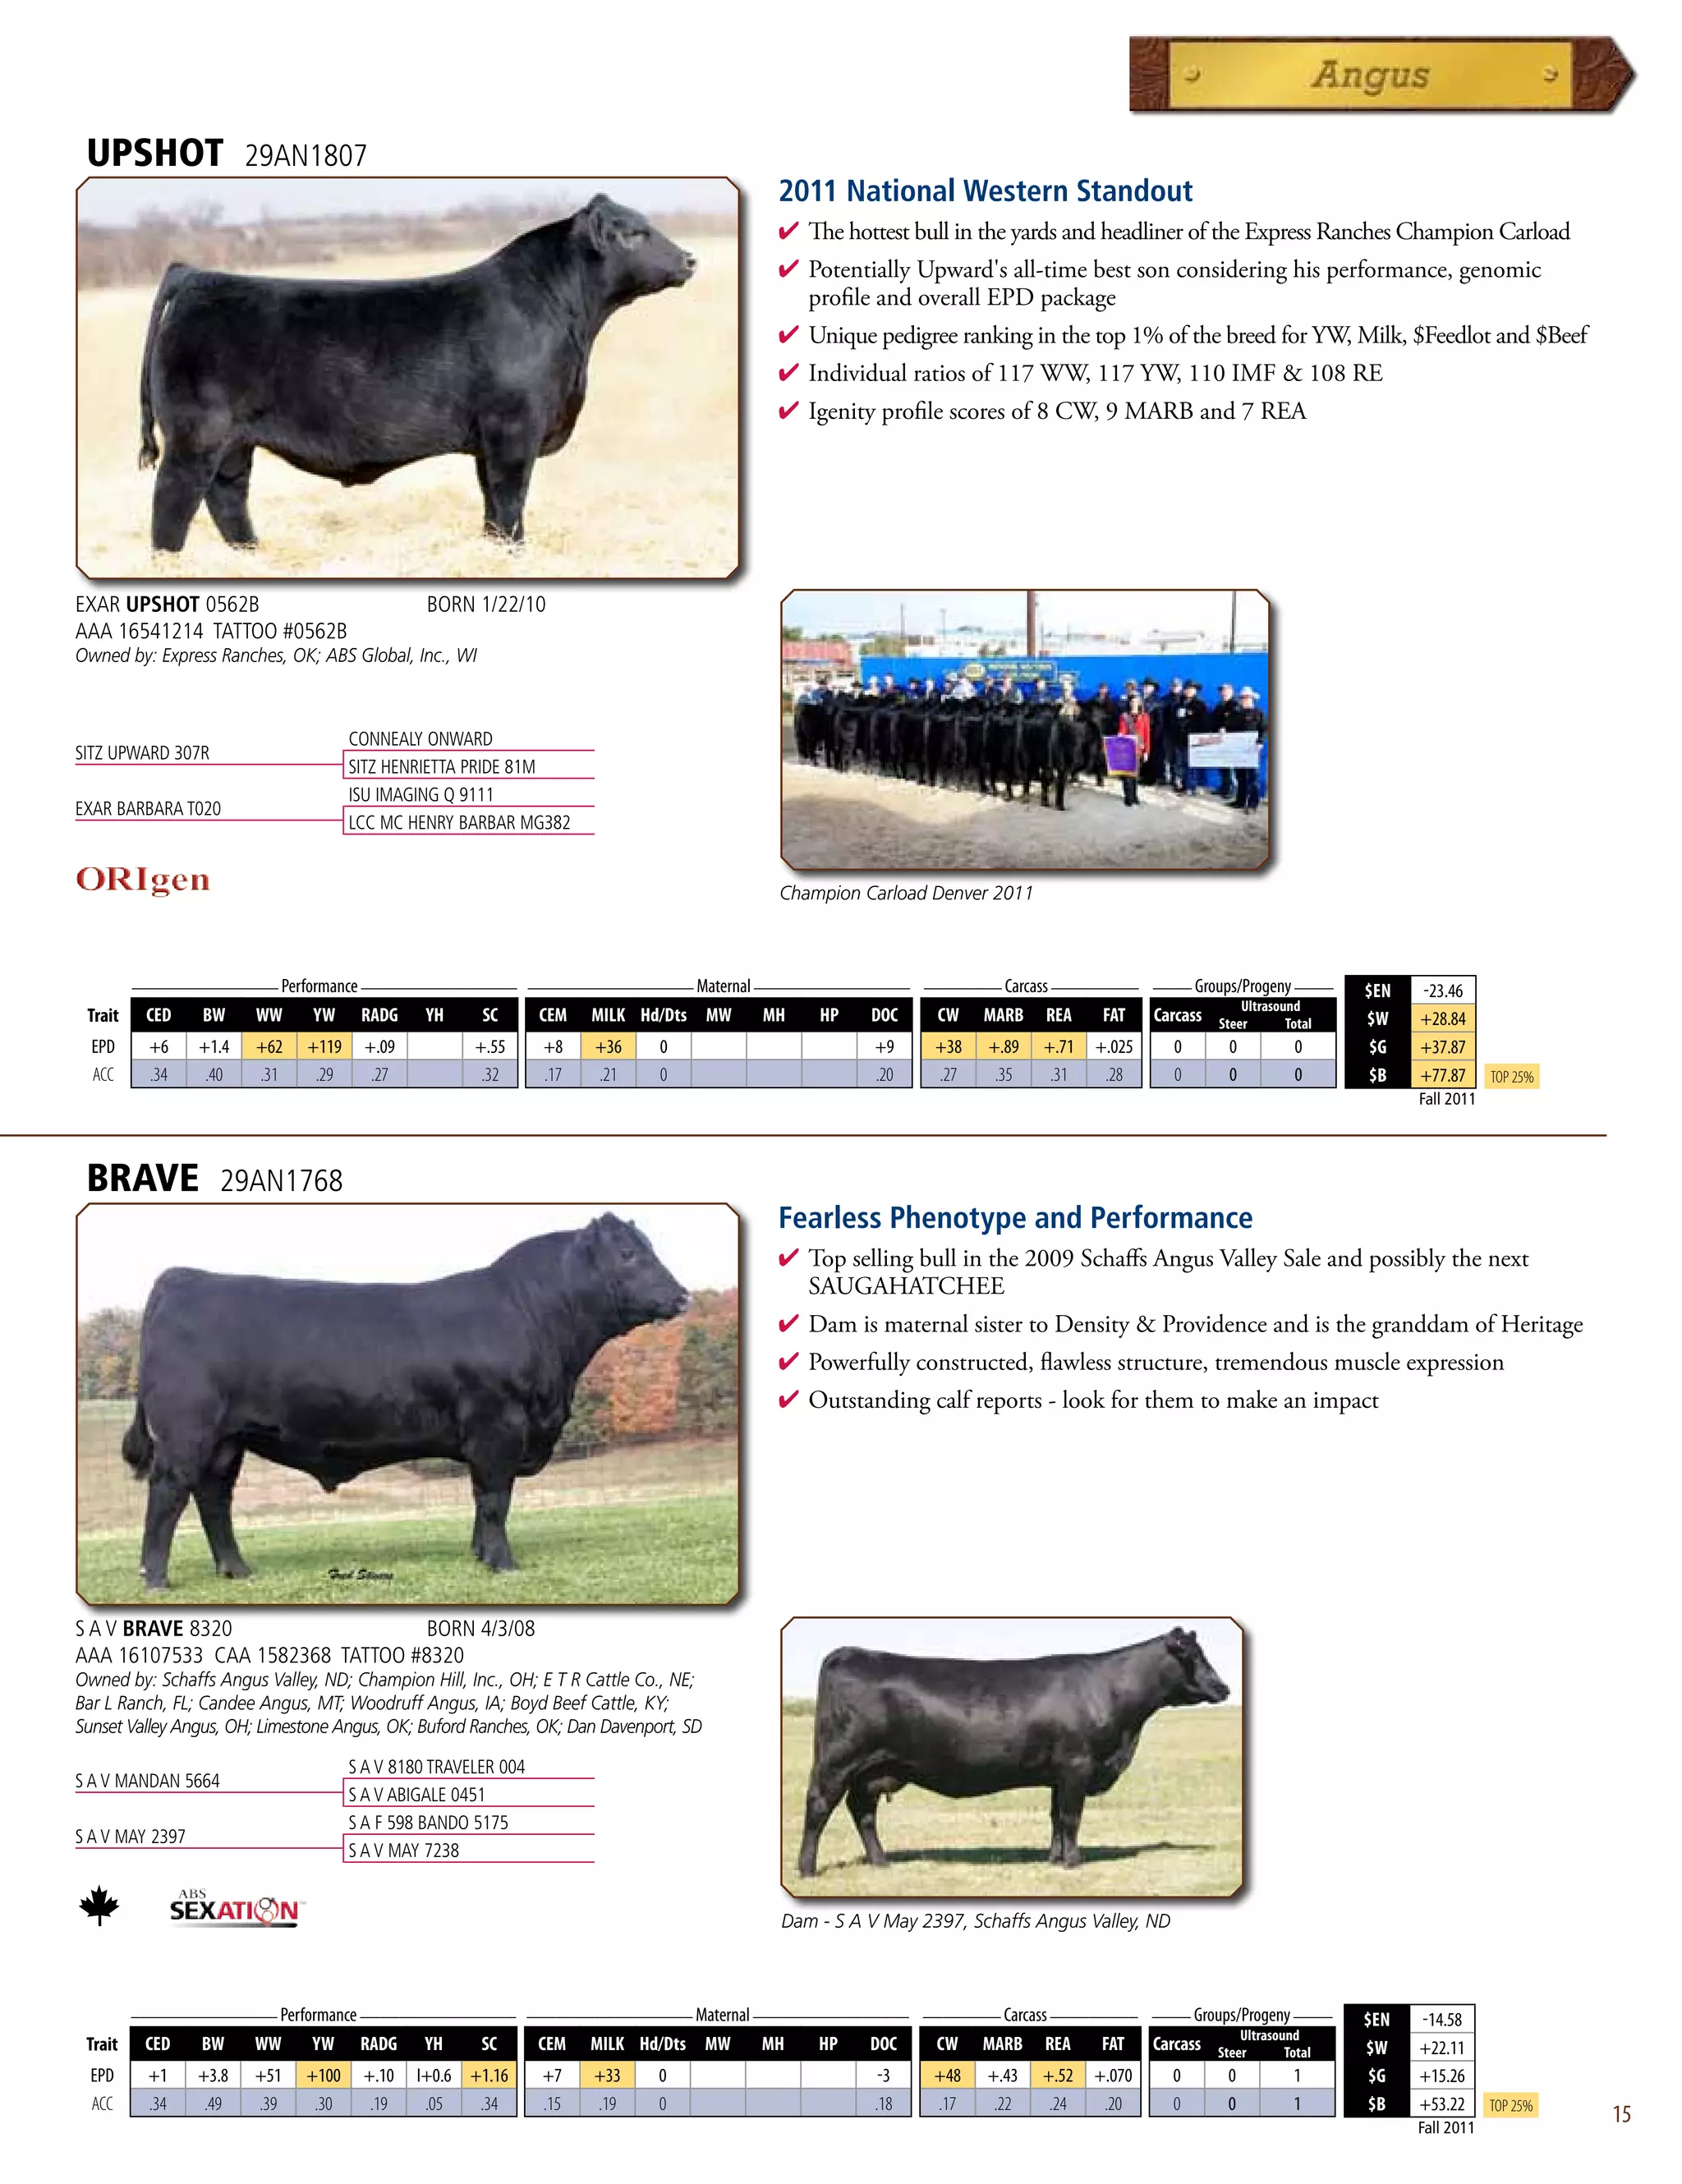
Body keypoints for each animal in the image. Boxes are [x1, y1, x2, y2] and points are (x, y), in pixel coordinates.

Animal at [120, 1215, 691, 1590]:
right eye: (629, 1254)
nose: (683, 1295)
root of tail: (184, 1278)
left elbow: (483, 1500)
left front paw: (479, 1555)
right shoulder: (498, 1425)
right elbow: (495, 1498)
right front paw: (502, 1563)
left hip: (228, 1439)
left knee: (214, 1498)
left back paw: (237, 1571)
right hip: (187, 1431)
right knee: (168, 1494)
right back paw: (156, 1578)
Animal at [137, 196, 697, 552]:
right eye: (635, 233)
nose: (689, 259)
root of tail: (197, 274)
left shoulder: (488, 441)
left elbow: (492, 506)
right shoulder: (513, 429)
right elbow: (510, 501)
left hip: (234, 442)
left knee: (228, 498)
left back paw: (254, 554)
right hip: (194, 436)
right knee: (172, 505)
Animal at [797, 1628, 1230, 1875]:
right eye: (1194, 1656)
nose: (1224, 1687)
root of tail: (848, 1652)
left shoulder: (1059, 1773)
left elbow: (1056, 1817)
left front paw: (1055, 1860)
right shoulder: (1077, 1764)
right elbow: (1071, 1816)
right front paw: (1074, 1863)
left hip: (875, 1769)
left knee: (862, 1811)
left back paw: (881, 1862)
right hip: (838, 1761)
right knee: (819, 1807)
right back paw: (807, 1869)